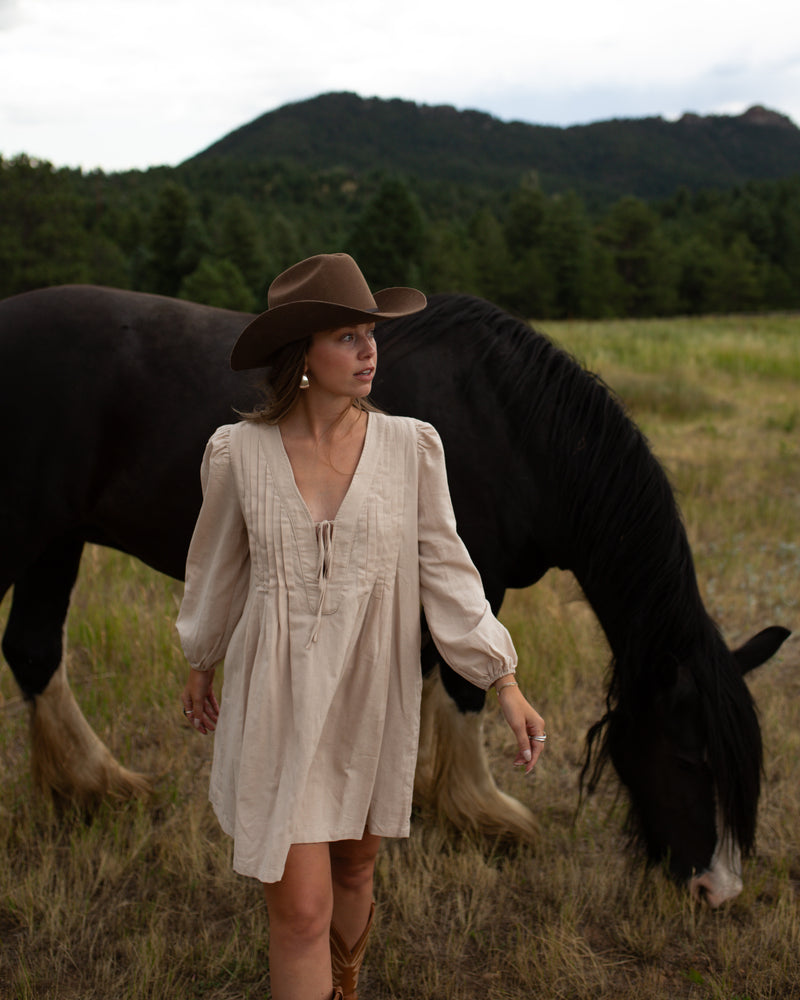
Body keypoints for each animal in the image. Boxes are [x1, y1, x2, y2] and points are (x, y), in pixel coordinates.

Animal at [0, 284, 788, 908]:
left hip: (56, 544)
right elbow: (466, 690)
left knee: (34, 651)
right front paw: (483, 814)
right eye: (688, 758)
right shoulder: (475, 574)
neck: (510, 423)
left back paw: (95, 786)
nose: (716, 890)